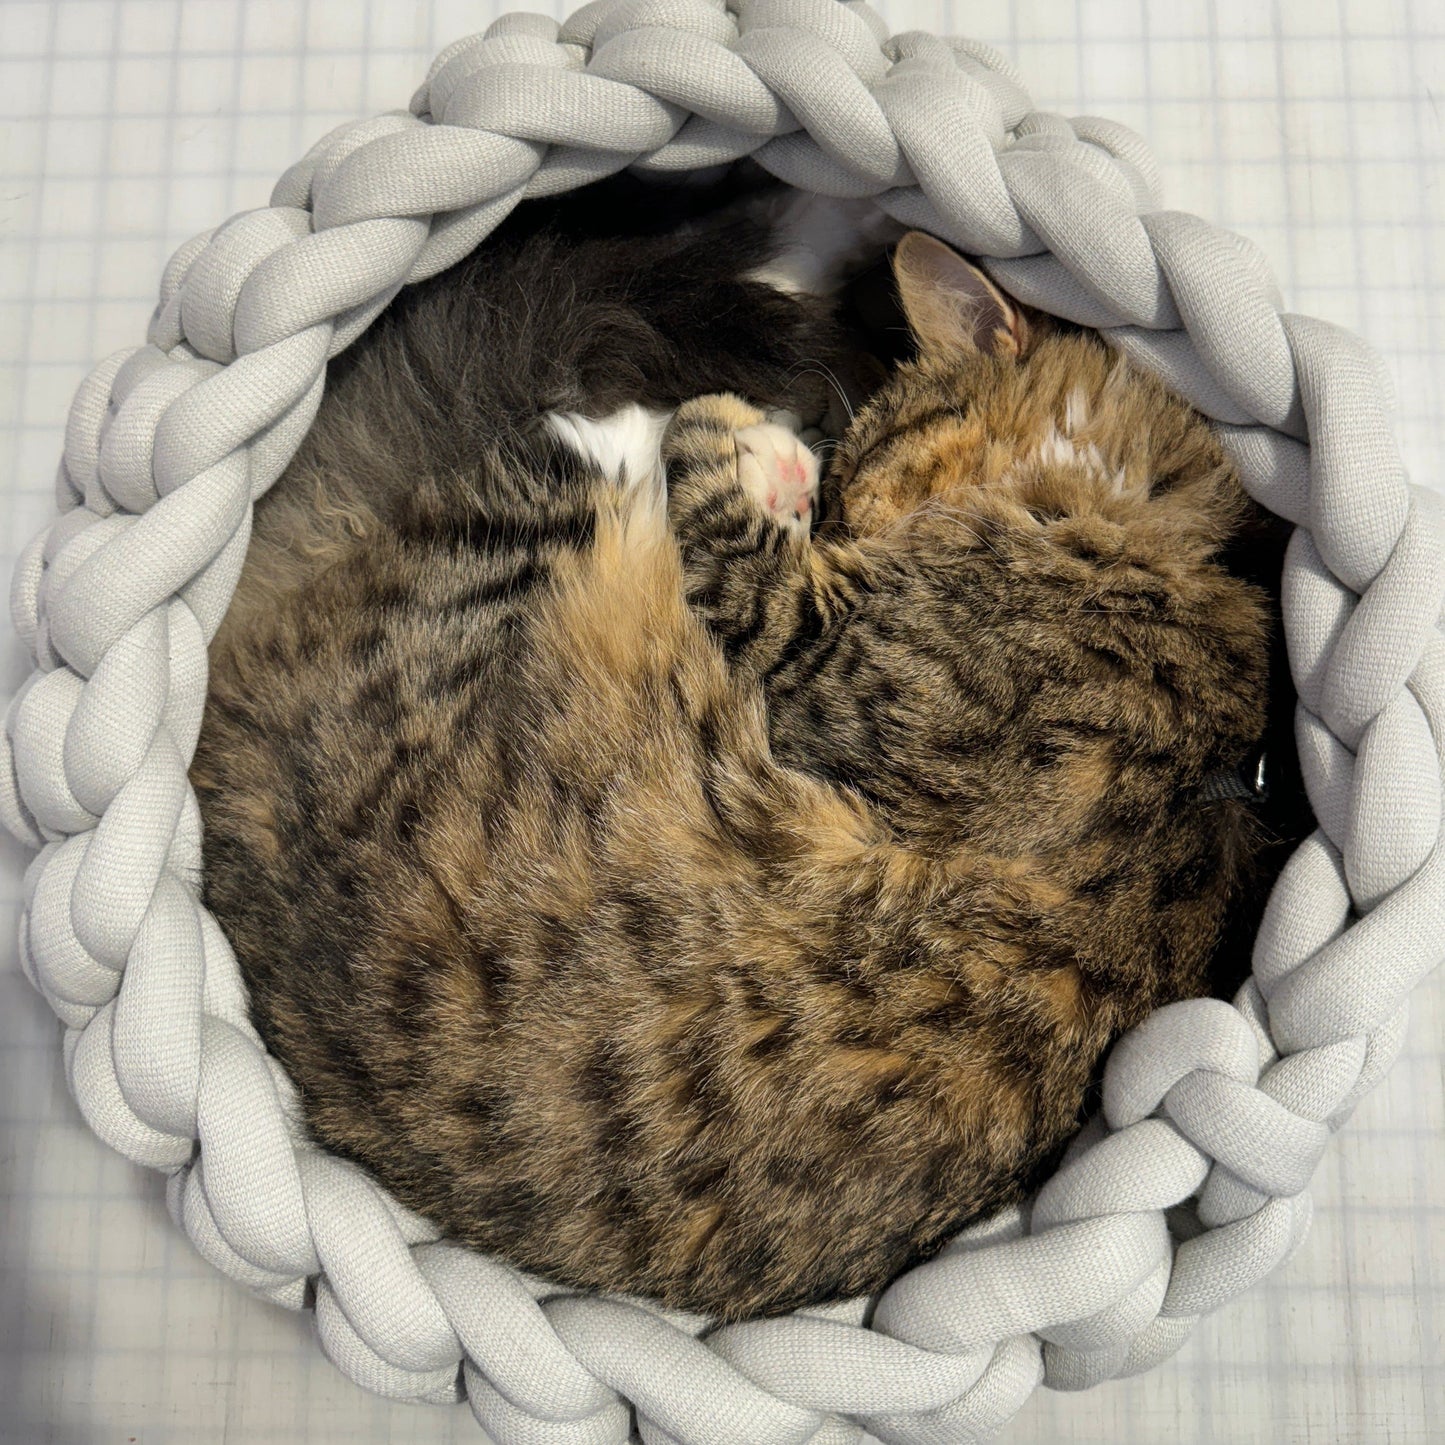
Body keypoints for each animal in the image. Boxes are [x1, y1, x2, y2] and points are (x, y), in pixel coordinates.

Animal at [192, 186, 1288, 1323]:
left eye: (859, 485)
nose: (825, 513)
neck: (1157, 548)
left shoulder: (822, 662)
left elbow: (716, 507)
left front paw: (740, 443)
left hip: (513, 551)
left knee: (583, 441)